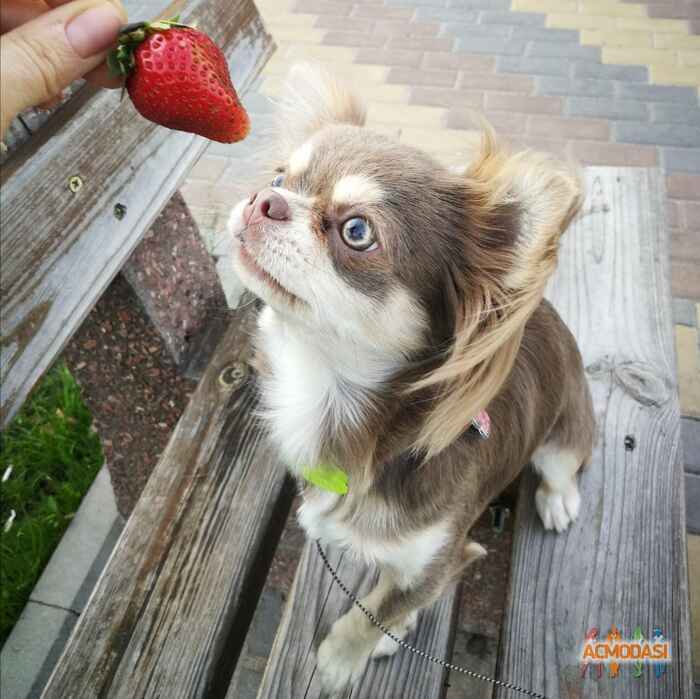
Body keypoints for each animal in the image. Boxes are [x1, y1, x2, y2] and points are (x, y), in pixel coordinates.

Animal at [228, 67, 596, 696]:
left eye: (357, 231)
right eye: (279, 177)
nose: (263, 199)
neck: (325, 389)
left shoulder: (446, 555)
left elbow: (376, 609)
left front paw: (340, 659)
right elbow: (383, 596)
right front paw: (384, 631)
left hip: (564, 432)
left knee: (563, 467)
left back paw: (557, 501)